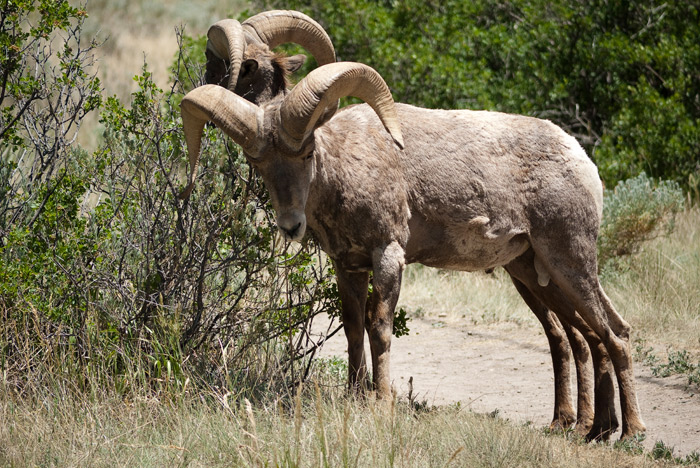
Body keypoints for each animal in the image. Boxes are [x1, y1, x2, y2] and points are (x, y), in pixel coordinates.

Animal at [182, 63, 644, 438]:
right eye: (258, 164)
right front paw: (355, 398)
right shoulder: (349, 267)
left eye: (308, 152)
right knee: (583, 339)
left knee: (615, 333)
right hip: (534, 274)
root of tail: (582, 160)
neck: (350, 166)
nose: (291, 225)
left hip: (571, 262)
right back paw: (589, 429)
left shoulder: (389, 255)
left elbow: (379, 327)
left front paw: (382, 405)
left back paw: (630, 433)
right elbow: (354, 330)